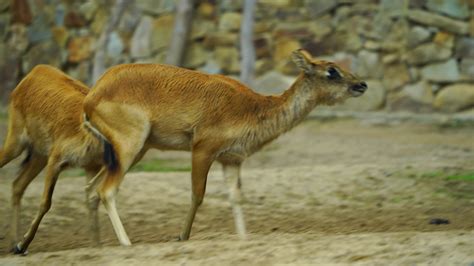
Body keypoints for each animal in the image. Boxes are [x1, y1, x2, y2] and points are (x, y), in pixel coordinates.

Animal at [0, 65, 134, 255]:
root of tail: (34, 71)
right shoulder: (56, 160)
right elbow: (46, 203)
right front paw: (23, 244)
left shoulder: (90, 166)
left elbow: (91, 201)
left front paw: (96, 246)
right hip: (16, 143)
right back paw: (16, 244)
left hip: (39, 156)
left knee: (17, 184)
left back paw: (13, 244)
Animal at [84, 49, 366, 245]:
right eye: (331, 71)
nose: (361, 84)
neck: (253, 108)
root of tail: (92, 96)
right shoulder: (202, 149)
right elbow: (197, 194)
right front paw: (182, 237)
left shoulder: (231, 159)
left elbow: (236, 196)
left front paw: (244, 238)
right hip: (130, 145)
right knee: (106, 190)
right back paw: (126, 243)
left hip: (130, 152)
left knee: (91, 189)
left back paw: (97, 244)